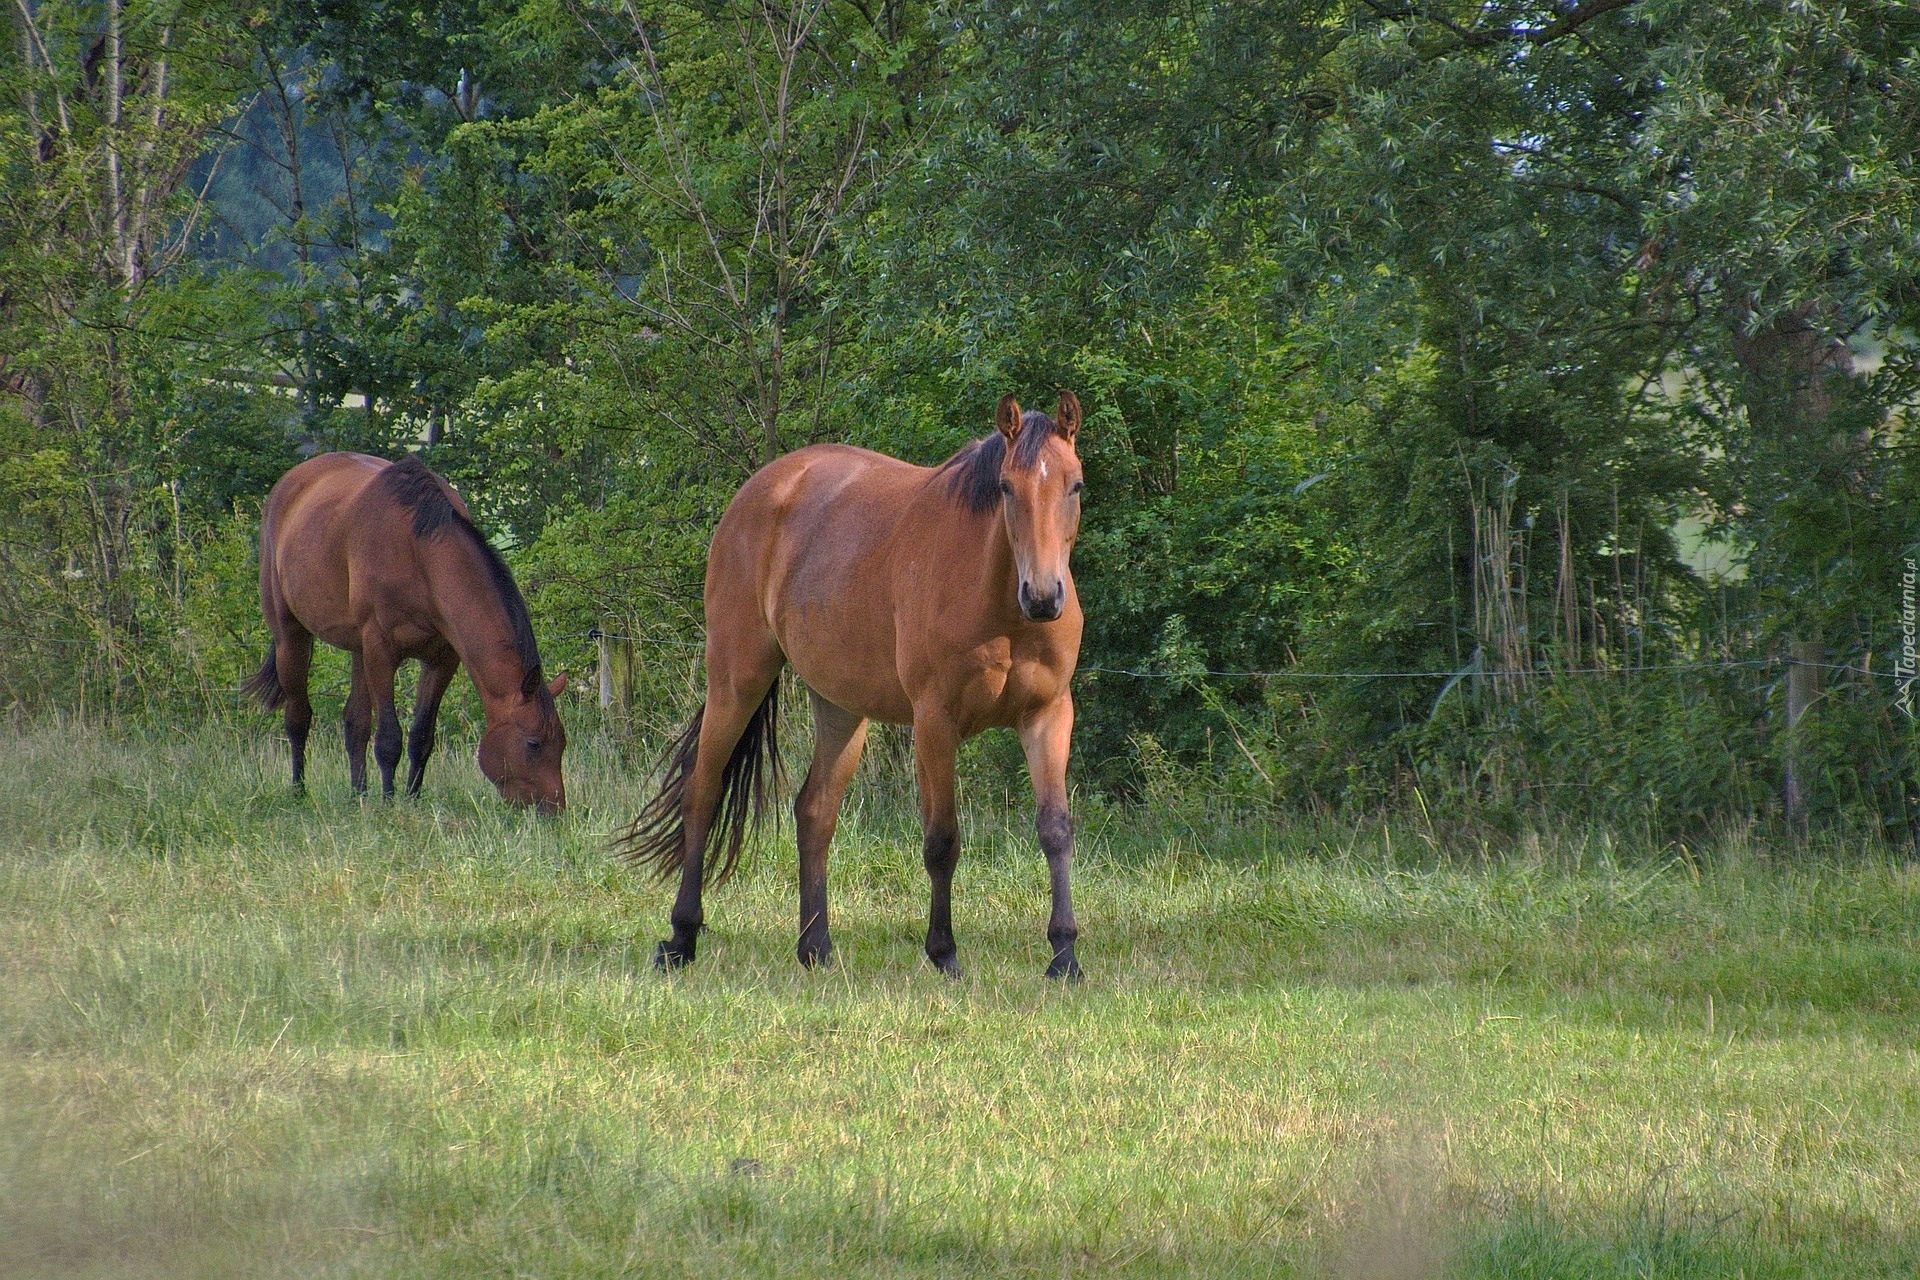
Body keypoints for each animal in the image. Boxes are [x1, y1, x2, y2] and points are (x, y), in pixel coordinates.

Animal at [245, 450, 568, 809]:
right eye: (534, 743)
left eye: (562, 743)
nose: (554, 809)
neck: (420, 553)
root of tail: (289, 483)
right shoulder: (381, 651)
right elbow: (389, 738)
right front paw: (389, 802)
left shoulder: (442, 659)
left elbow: (421, 736)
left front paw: (412, 798)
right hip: (291, 636)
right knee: (298, 718)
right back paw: (299, 790)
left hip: (358, 649)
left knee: (355, 723)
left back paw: (359, 794)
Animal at [622, 391, 1090, 982]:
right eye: (1007, 487)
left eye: (1075, 485)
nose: (1044, 597)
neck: (1000, 606)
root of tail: (762, 488)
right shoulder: (934, 723)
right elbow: (942, 840)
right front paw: (944, 953)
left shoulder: (1048, 715)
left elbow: (1056, 830)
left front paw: (1064, 956)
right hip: (736, 679)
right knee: (702, 792)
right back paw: (681, 938)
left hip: (841, 708)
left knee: (814, 812)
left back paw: (815, 947)